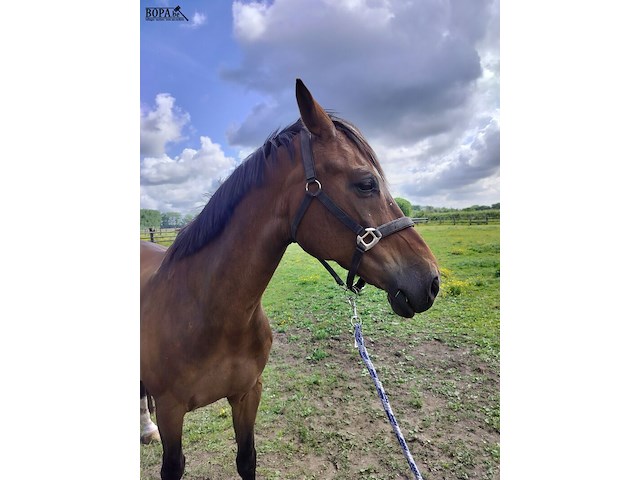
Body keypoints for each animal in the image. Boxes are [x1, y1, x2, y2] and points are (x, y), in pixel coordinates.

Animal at [140, 79, 440, 480]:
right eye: (366, 183)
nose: (431, 280)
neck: (209, 313)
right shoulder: (171, 410)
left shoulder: (248, 394)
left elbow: (247, 458)